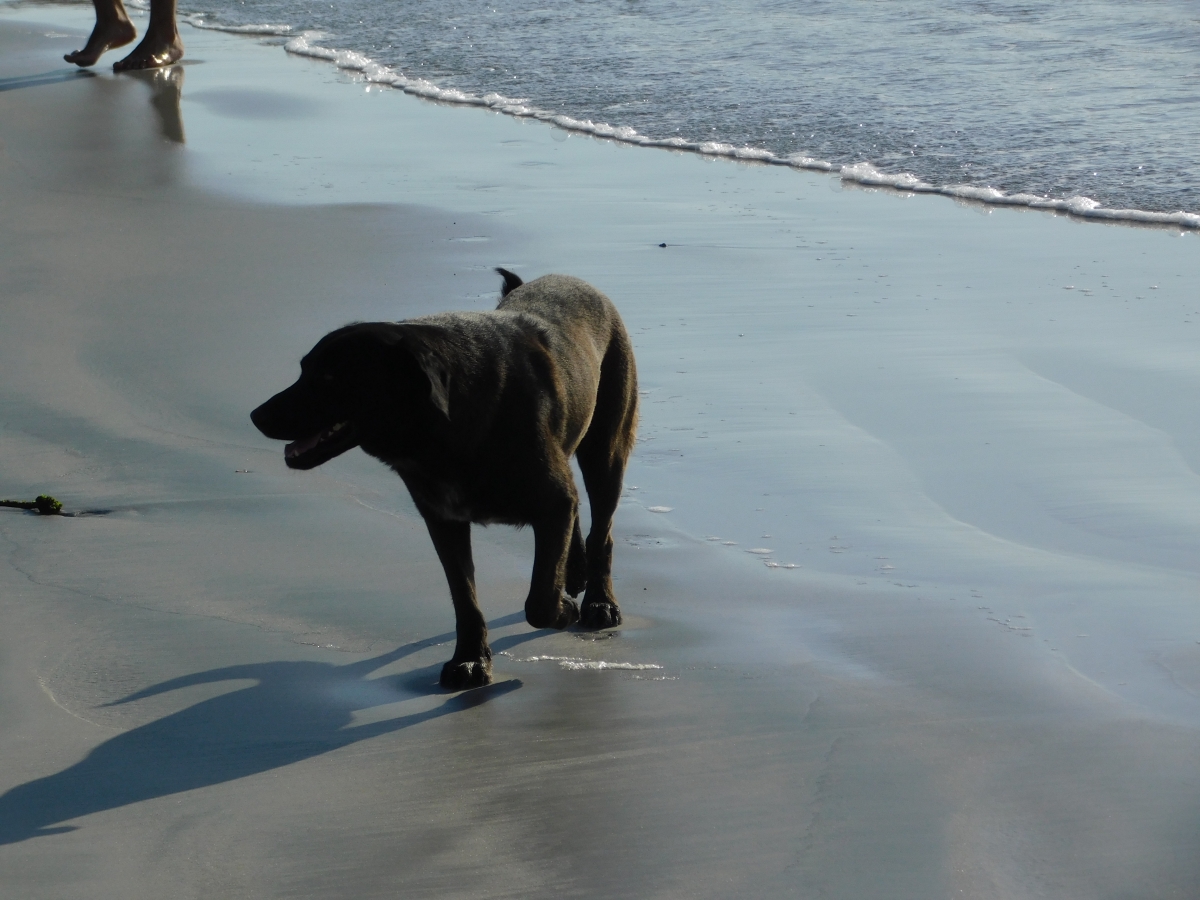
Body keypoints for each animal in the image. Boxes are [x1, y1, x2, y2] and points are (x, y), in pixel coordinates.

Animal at [250, 267, 638, 691]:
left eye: (331, 377)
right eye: (305, 369)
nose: (256, 415)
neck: (445, 424)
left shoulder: (550, 501)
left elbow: (539, 601)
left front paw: (564, 611)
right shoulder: (444, 520)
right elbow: (464, 597)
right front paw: (469, 660)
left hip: (607, 446)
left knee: (602, 529)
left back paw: (599, 601)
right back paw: (576, 571)